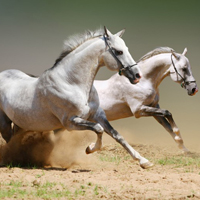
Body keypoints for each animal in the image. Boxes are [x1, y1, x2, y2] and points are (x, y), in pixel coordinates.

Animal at [0, 27, 155, 169]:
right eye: (118, 51)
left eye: (125, 49)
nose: (137, 75)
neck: (71, 83)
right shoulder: (70, 122)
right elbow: (98, 129)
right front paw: (90, 148)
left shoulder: (98, 115)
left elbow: (117, 135)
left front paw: (144, 161)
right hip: (5, 124)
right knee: (9, 141)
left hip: (21, 123)